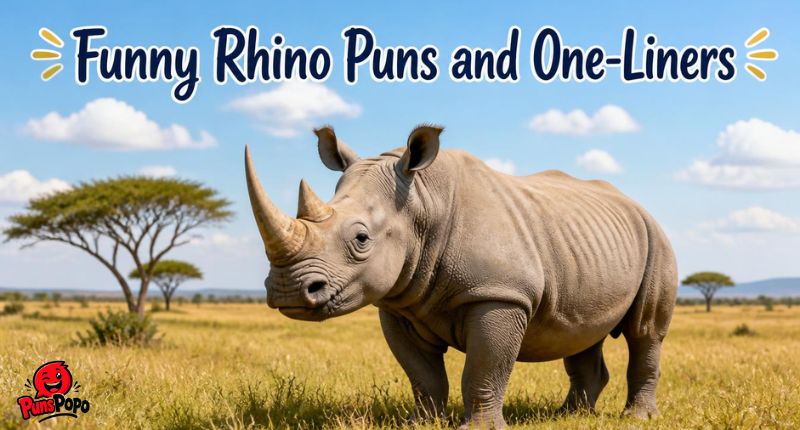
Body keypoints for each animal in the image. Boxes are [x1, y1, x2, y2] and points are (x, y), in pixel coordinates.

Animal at [244, 125, 677, 428]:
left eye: (361, 239)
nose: (288, 291)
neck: (421, 203)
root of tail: (636, 204)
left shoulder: (499, 294)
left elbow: (484, 366)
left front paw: (479, 427)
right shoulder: (398, 303)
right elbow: (422, 373)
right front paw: (420, 423)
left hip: (656, 238)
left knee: (645, 331)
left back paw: (635, 419)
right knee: (582, 331)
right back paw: (569, 416)